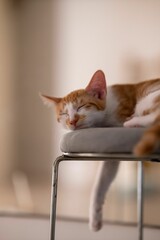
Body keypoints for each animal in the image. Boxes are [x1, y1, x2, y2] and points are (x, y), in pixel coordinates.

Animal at [40, 70, 160, 232]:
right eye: (64, 114)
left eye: (81, 107)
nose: (72, 121)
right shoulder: (111, 149)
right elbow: (103, 178)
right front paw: (95, 216)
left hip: (148, 99)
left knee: (153, 117)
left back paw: (132, 121)